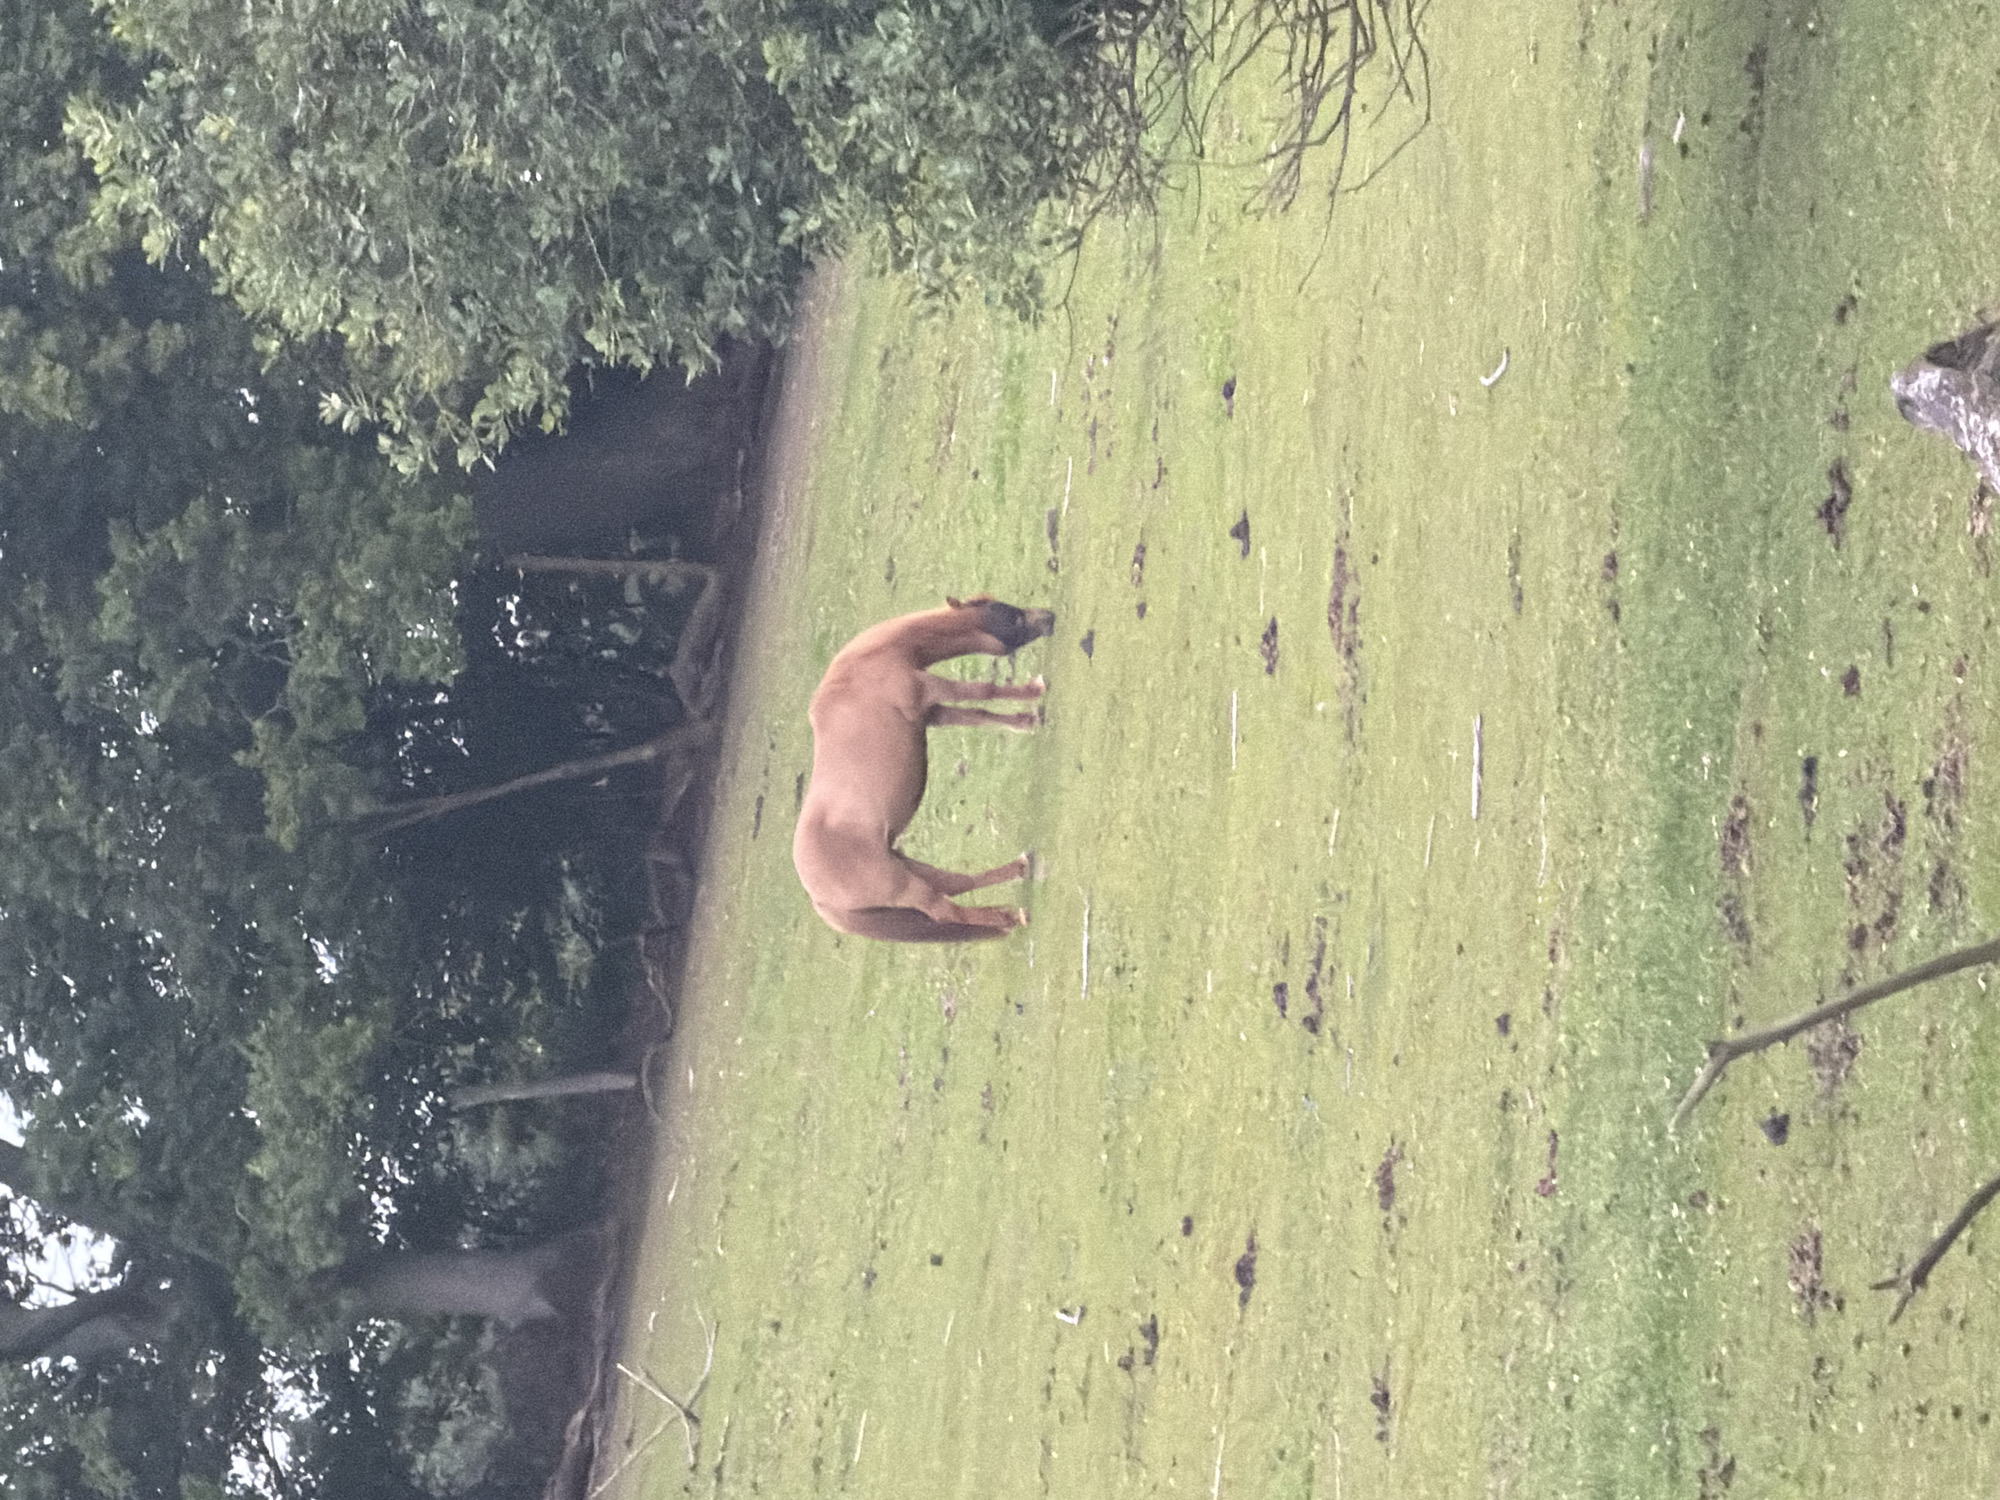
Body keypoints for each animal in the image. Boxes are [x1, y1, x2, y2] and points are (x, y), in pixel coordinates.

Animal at [793, 594, 1055, 941]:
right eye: (1013, 618)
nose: (1050, 618)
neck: (864, 664)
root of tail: (819, 899)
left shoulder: (932, 712)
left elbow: (979, 714)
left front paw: (1026, 721)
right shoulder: (931, 689)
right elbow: (982, 691)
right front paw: (1035, 691)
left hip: (909, 867)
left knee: (957, 884)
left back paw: (1016, 880)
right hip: (907, 887)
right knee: (947, 910)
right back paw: (1009, 917)